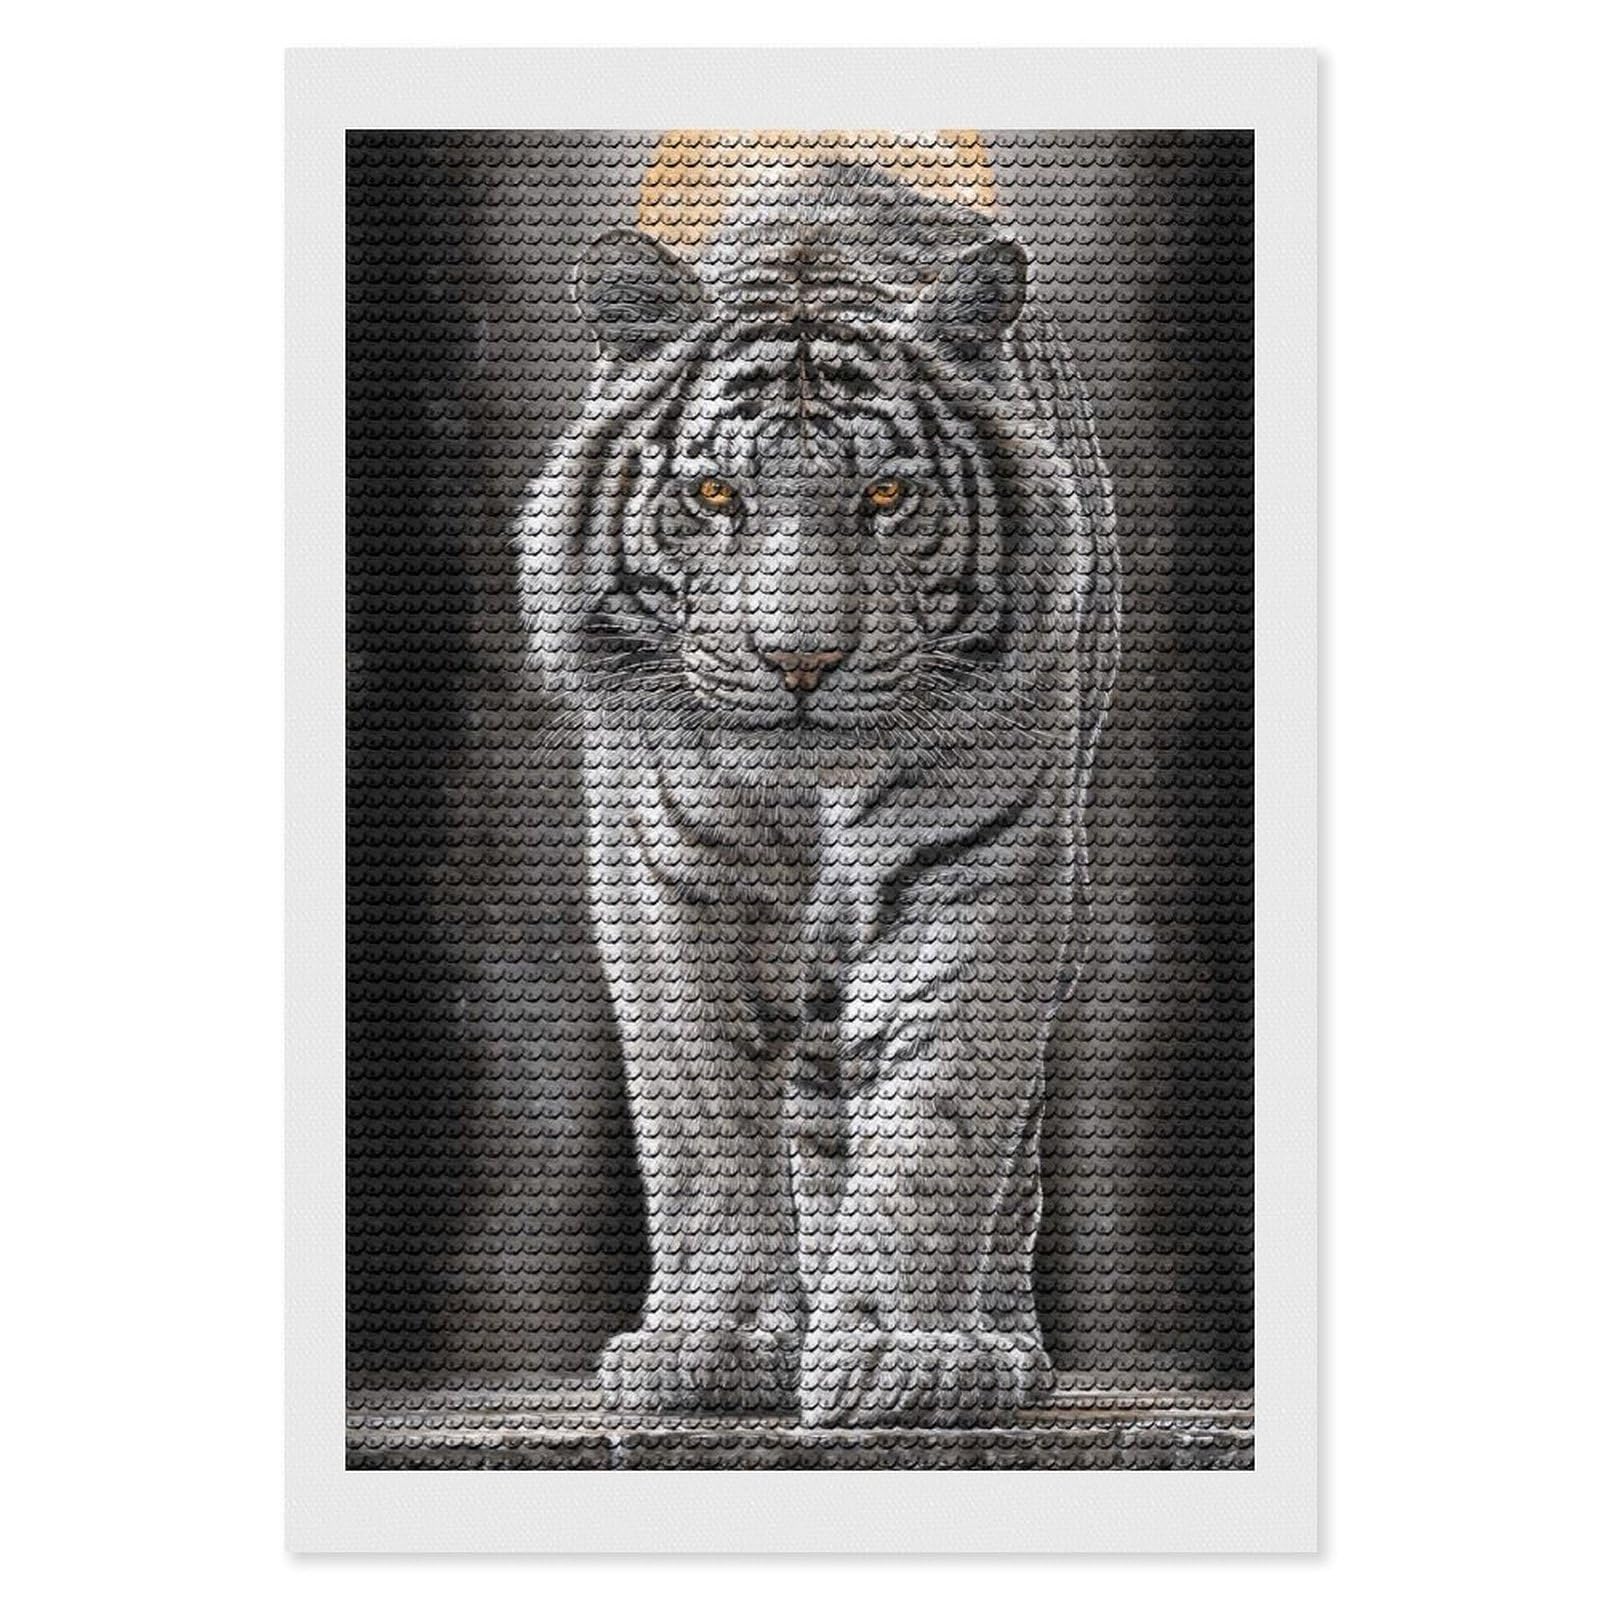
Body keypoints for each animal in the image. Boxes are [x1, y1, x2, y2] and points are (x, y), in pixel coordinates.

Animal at [517, 161, 1120, 1427]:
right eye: (712, 495)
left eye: (885, 496)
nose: (800, 663)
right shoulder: (667, 876)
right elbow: (701, 1114)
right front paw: (709, 1343)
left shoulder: (986, 867)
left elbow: (940, 1118)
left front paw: (902, 1353)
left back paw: (998, 1343)